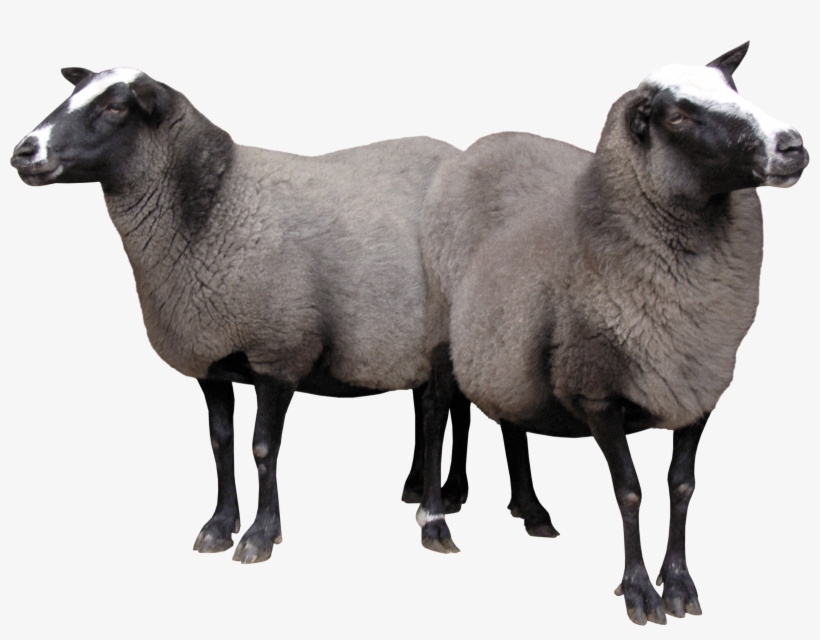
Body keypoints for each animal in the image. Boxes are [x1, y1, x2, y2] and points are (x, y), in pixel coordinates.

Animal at [9, 66, 485, 563]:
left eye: (116, 107)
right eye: (75, 92)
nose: (24, 151)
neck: (215, 205)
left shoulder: (278, 351)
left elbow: (263, 447)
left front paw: (261, 533)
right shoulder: (210, 356)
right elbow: (221, 440)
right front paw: (219, 525)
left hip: (443, 331)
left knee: (437, 416)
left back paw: (435, 517)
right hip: (411, 339)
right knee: (440, 409)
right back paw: (429, 488)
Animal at [416, 43, 809, 624]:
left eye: (735, 90)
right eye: (678, 115)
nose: (792, 148)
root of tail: (475, 149)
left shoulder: (698, 386)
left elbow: (682, 486)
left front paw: (680, 584)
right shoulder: (595, 390)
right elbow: (629, 491)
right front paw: (640, 591)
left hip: (505, 335)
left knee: (506, 414)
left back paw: (531, 510)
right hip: (444, 330)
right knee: (439, 410)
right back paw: (435, 518)